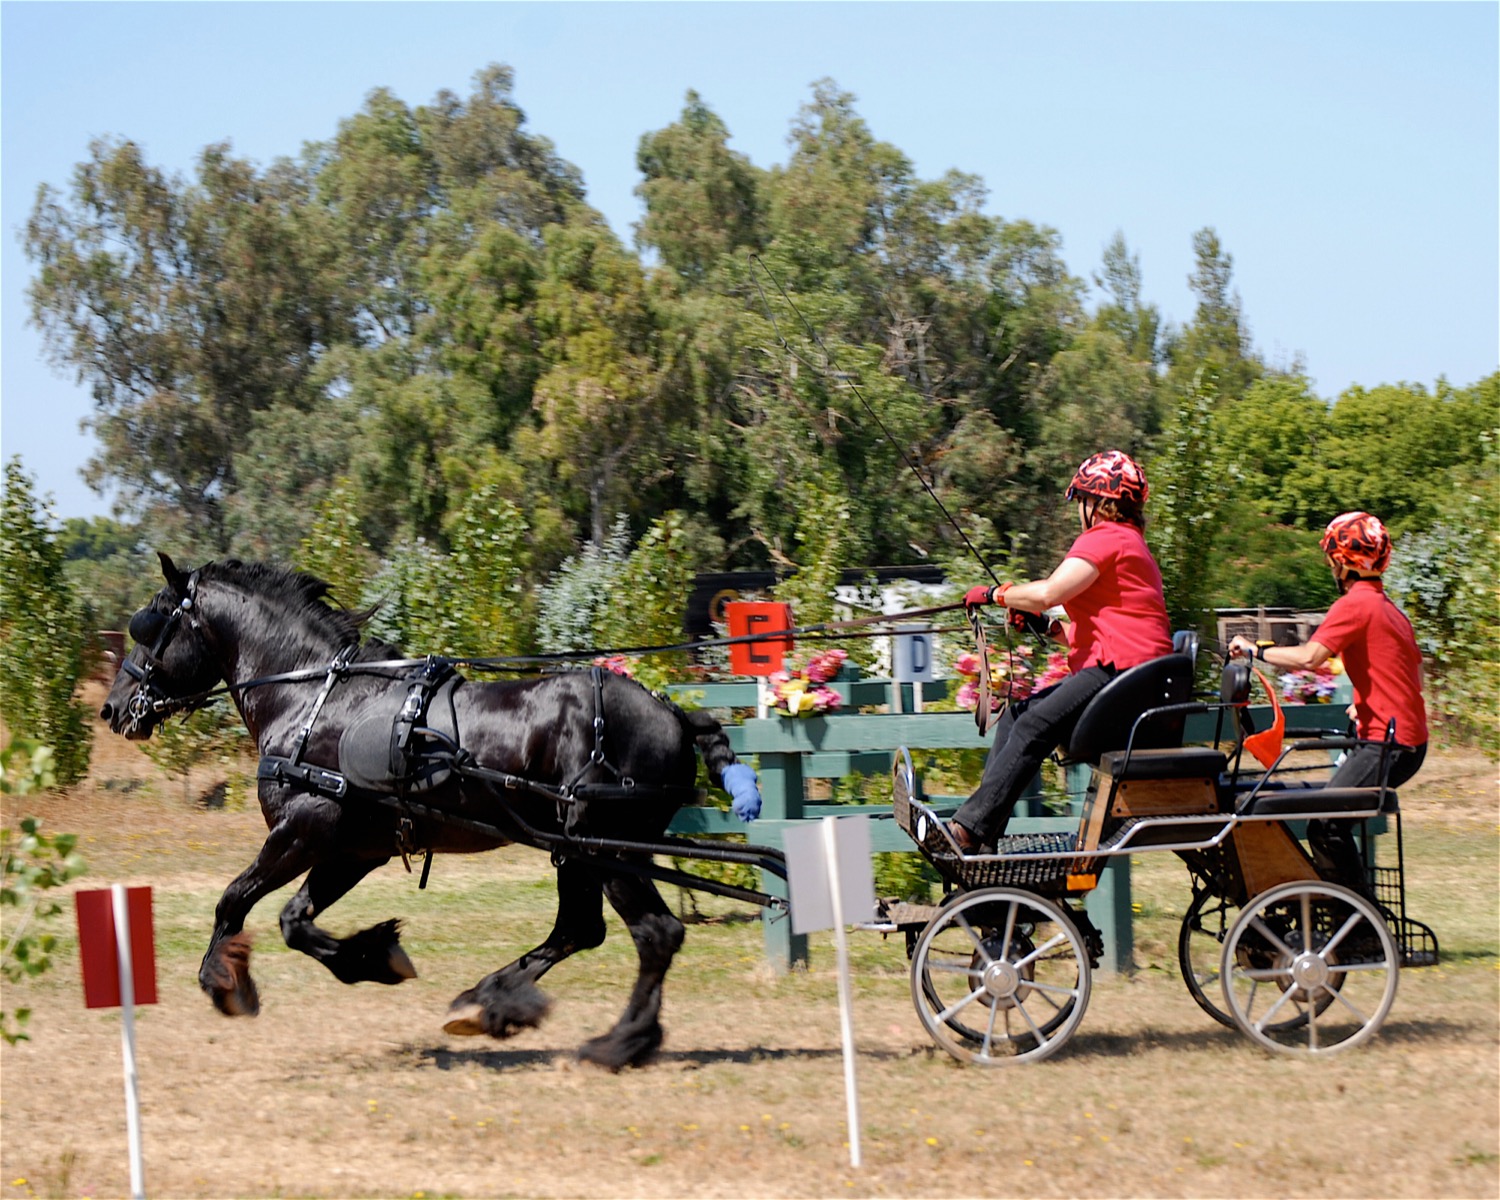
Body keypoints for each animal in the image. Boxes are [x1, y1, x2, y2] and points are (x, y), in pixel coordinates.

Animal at [98, 552, 762, 1068]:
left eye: (148, 629)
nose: (113, 709)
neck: (313, 699)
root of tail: (675, 713)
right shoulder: (352, 848)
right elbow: (294, 921)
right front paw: (374, 957)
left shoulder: (302, 831)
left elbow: (234, 899)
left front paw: (222, 982)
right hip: (577, 851)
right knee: (581, 930)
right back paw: (490, 1003)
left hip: (606, 847)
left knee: (654, 934)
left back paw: (618, 1042)